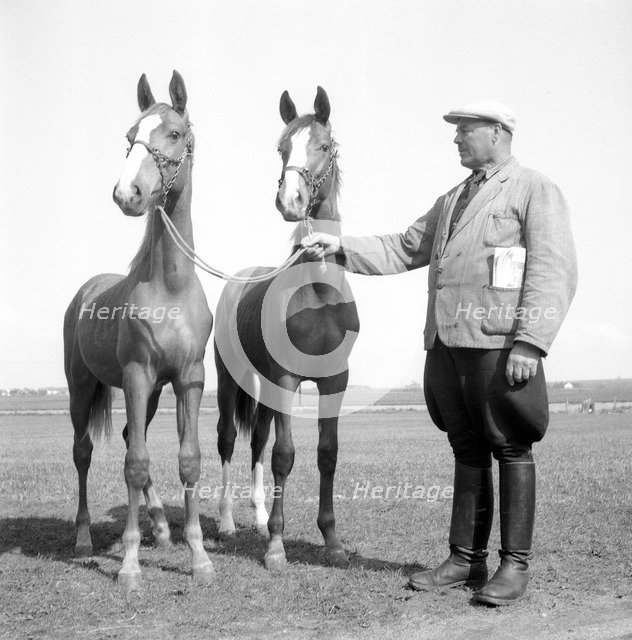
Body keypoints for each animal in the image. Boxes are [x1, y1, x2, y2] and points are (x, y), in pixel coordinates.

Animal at [63, 71, 214, 590]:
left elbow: (188, 459)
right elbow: (134, 465)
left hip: (149, 394)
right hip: (82, 387)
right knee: (84, 452)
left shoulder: (187, 379)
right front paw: (129, 565)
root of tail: (86, 292)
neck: (171, 287)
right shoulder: (135, 375)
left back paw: (163, 528)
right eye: (130, 136)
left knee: (132, 435)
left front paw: (198, 556)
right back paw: (85, 537)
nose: (127, 193)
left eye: (174, 133)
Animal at [213, 87, 360, 570]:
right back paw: (227, 522)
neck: (317, 294)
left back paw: (258, 520)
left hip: (262, 385)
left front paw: (331, 541)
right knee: (227, 440)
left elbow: (326, 454)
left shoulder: (334, 380)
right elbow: (285, 455)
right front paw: (277, 547)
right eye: (282, 148)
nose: (290, 200)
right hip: (231, 380)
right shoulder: (288, 378)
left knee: (255, 440)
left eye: (325, 147)